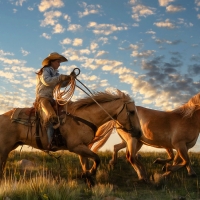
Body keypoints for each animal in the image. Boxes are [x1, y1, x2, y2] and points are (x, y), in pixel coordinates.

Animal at [0, 90, 142, 187]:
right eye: (132, 112)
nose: (139, 133)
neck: (84, 117)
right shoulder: (76, 147)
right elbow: (97, 159)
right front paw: (90, 174)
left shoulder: (82, 147)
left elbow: (85, 164)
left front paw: (88, 180)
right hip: (4, 149)